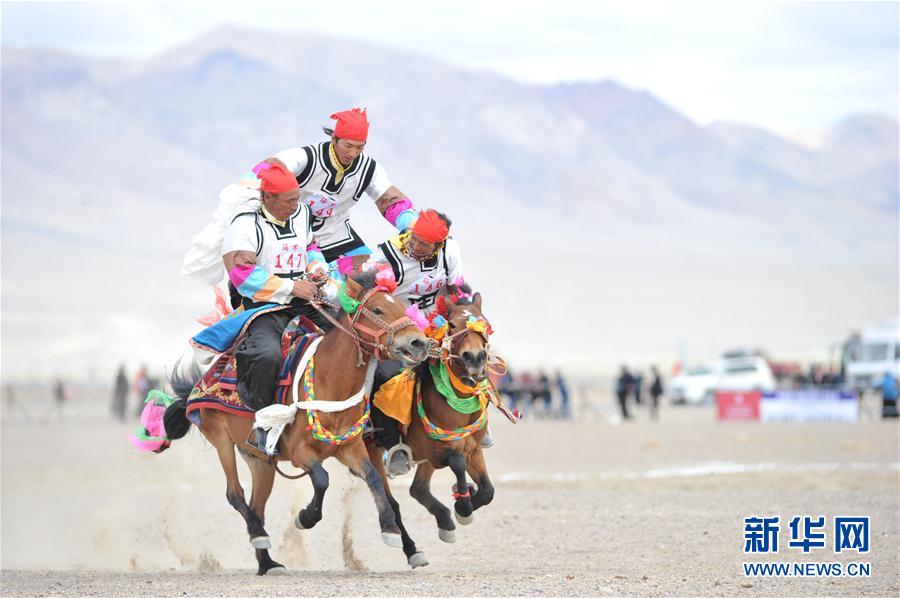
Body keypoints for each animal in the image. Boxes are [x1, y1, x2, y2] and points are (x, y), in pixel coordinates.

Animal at [163, 271, 432, 575]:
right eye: (377, 310)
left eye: (401, 305)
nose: (419, 343)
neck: (330, 380)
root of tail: (203, 380)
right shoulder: (300, 453)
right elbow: (322, 479)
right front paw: (306, 517)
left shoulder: (350, 448)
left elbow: (374, 479)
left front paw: (390, 530)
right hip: (221, 439)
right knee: (235, 494)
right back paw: (259, 536)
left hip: (260, 462)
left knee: (257, 505)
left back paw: (267, 561)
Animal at [366, 291, 500, 564]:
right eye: (452, 325)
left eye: (484, 323)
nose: (475, 357)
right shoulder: (435, 452)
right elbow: (457, 463)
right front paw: (463, 506)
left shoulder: (473, 449)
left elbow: (488, 490)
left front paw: (465, 501)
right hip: (374, 452)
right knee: (392, 501)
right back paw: (412, 549)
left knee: (417, 489)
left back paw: (445, 522)